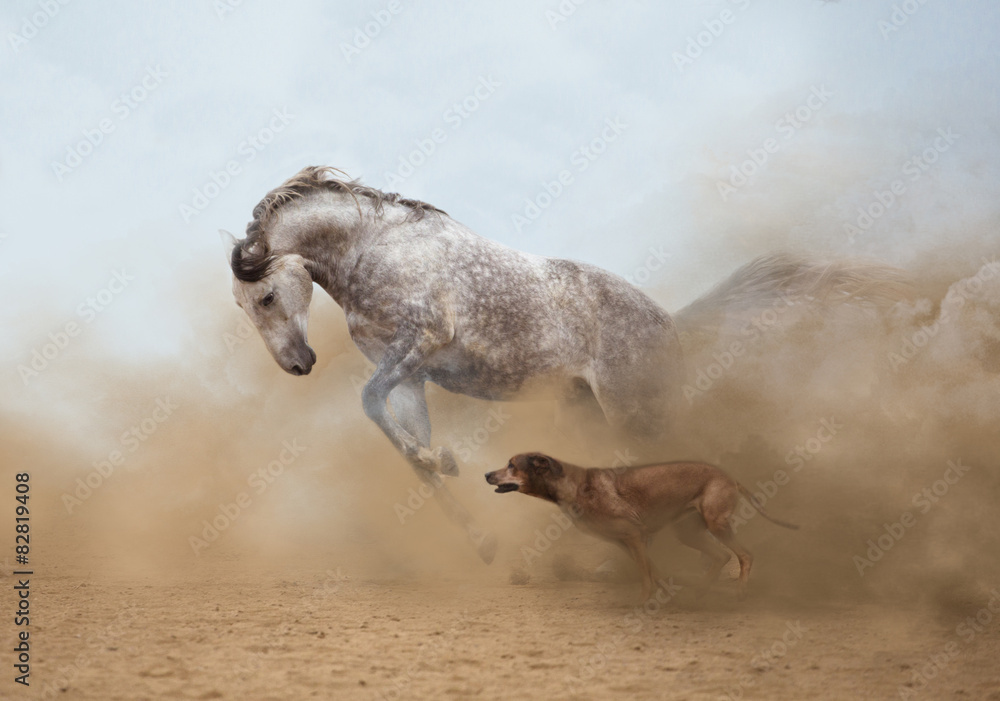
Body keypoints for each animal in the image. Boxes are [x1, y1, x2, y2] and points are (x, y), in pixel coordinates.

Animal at [221, 166, 910, 563]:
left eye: (265, 297)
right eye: (244, 307)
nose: (297, 365)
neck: (375, 250)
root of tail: (670, 325)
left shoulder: (418, 343)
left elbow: (370, 404)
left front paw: (443, 462)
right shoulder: (411, 376)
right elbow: (409, 451)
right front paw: (479, 533)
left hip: (636, 410)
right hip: (588, 409)